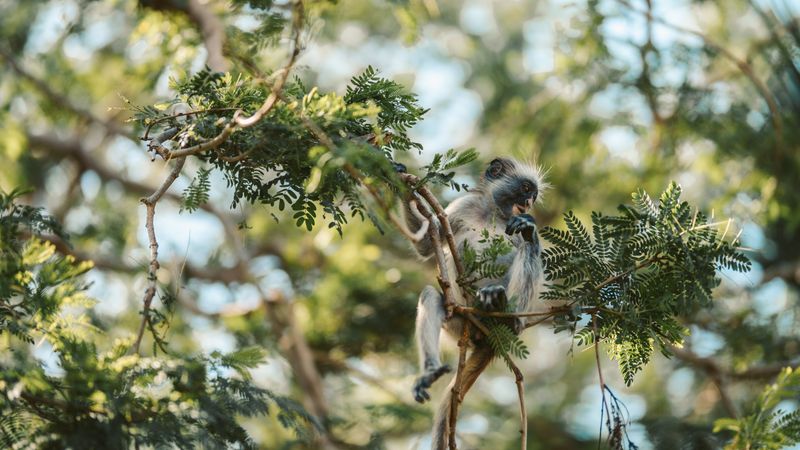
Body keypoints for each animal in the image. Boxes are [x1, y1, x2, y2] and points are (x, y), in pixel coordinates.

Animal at [403, 157, 546, 449]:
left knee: (527, 250)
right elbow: (426, 244)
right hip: (459, 322)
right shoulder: (465, 205)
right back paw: (430, 372)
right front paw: (403, 187)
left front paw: (529, 228)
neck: (494, 212)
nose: (528, 203)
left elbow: (529, 246)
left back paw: (507, 313)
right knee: (431, 296)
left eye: (533, 195)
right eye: (525, 188)